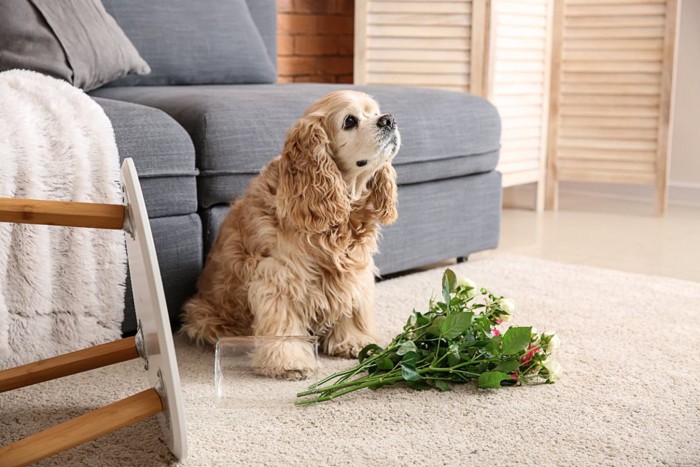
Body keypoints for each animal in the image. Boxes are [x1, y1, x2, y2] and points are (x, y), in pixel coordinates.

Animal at [180, 91, 400, 380]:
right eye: (350, 121)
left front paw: (353, 341)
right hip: (203, 314)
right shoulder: (278, 277)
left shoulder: (353, 272)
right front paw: (289, 362)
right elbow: (284, 324)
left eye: (375, 112)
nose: (389, 119)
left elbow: (352, 308)